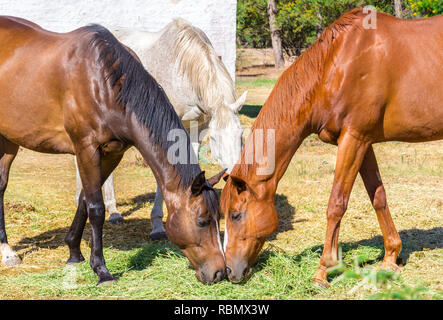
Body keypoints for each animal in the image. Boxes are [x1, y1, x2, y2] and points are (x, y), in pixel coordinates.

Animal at [0, 15, 227, 284]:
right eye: (202, 221)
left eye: (218, 218)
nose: (220, 272)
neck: (104, 83)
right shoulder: (86, 149)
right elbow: (96, 208)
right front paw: (101, 269)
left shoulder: (113, 153)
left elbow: (84, 200)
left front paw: (74, 251)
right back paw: (6, 251)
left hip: (9, 140)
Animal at [75, 18, 248, 239]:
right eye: (215, 139)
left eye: (241, 134)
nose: (236, 178)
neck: (182, 67)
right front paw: (158, 225)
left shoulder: (198, 127)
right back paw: (110, 210)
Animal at [222, 8, 443, 286]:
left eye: (236, 214)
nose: (230, 271)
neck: (335, 64)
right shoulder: (363, 143)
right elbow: (378, 198)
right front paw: (391, 257)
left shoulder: (353, 140)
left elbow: (336, 204)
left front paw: (323, 269)